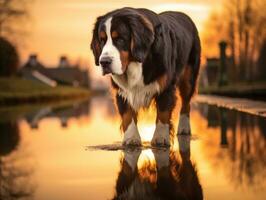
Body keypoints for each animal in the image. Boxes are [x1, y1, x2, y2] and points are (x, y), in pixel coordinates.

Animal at [90, 7, 201, 147]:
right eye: (102, 40)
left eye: (120, 39)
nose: (104, 62)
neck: (136, 64)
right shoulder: (122, 90)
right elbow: (127, 114)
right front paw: (131, 138)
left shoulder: (166, 86)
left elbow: (163, 113)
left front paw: (160, 138)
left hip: (188, 77)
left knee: (186, 102)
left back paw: (184, 128)